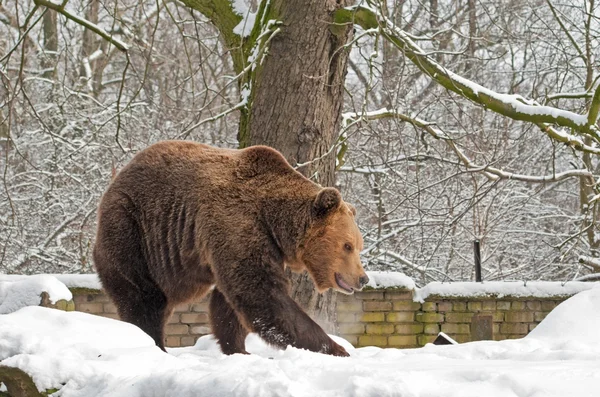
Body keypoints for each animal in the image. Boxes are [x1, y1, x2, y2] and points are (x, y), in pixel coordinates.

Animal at [94, 142, 368, 356]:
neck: (273, 221)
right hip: (133, 230)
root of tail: (115, 181)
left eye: (358, 246)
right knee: (143, 297)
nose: (362, 278)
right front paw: (336, 349)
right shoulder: (237, 223)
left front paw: (238, 349)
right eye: (347, 245)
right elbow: (260, 293)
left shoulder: (258, 244)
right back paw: (155, 345)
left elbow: (230, 304)